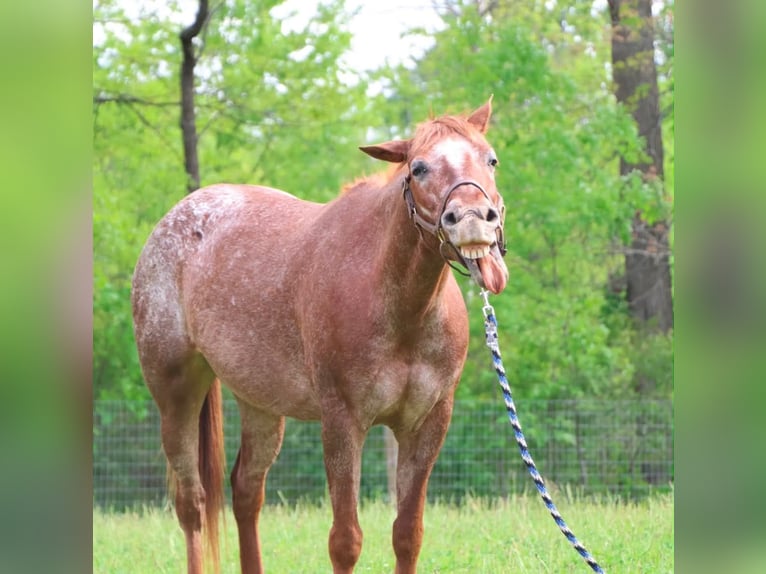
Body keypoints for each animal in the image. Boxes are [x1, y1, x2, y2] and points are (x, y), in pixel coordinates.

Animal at [131, 98, 508, 574]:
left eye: (491, 159)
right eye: (418, 167)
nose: (474, 219)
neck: (401, 307)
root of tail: (176, 216)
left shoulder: (426, 424)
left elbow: (407, 535)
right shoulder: (343, 421)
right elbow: (345, 540)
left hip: (260, 405)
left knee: (245, 492)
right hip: (176, 393)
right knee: (192, 503)